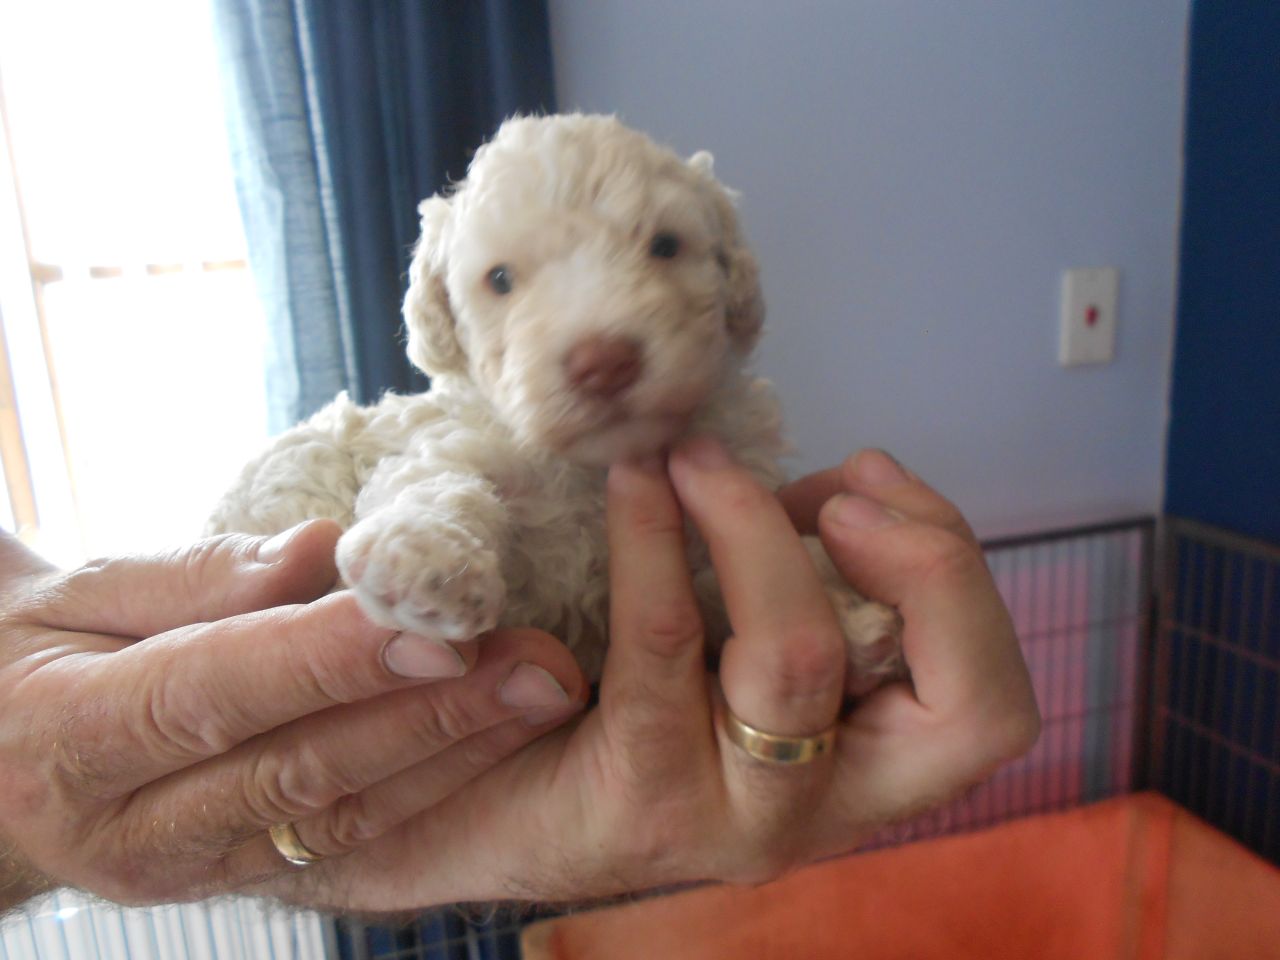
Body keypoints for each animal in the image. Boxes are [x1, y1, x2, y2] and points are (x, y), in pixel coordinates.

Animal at [207, 112, 901, 691]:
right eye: (500, 280)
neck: (593, 468)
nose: (604, 362)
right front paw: (427, 559)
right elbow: (437, 482)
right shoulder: (455, 442)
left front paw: (846, 612)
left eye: (665, 246)